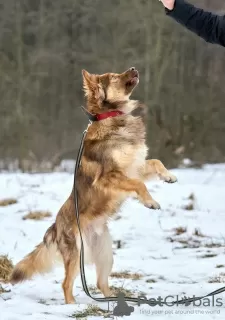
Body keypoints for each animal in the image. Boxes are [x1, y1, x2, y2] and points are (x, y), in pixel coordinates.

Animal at [10, 67, 177, 302]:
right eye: (115, 76)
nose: (134, 68)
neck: (112, 117)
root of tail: (55, 226)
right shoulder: (110, 176)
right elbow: (138, 184)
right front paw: (150, 202)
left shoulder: (135, 166)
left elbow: (155, 162)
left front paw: (168, 176)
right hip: (75, 254)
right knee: (66, 284)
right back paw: (72, 305)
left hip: (106, 254)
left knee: (100, 283)